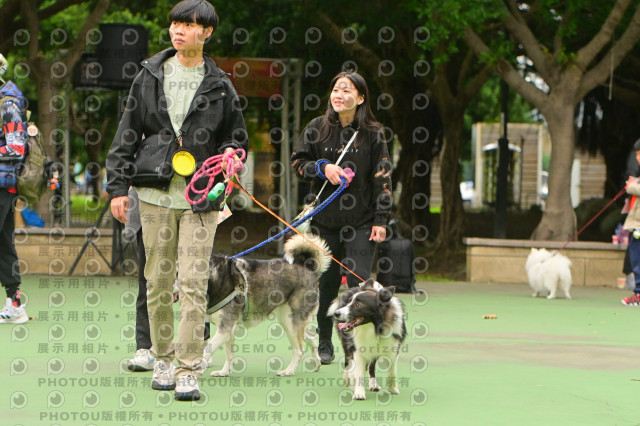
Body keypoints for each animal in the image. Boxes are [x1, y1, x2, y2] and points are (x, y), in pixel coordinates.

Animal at [202, 234, 330, 377]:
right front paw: (224, 372)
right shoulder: (228, 328)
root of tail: (309, 270)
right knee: (311, 337)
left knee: (299, 350)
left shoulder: (225, 327)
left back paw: (288, 371)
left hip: (291, 322)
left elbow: (207, 350)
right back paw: (316, 363)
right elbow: (229, 354)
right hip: (288, 320)